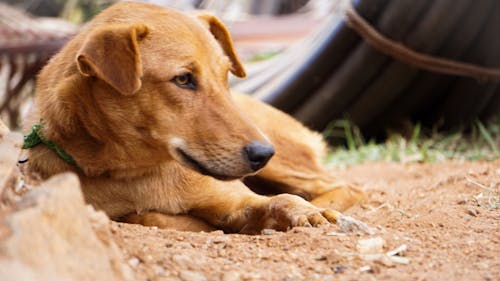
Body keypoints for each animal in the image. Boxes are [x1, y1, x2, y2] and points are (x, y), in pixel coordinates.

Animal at [24, 2, 368, 233]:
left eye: (226, 74)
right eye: (183, 79)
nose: (263, 153)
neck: (139, 173)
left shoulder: (236, 199)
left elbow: (281, 200)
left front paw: (307, 213)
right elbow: (147, 215)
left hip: (284, 163)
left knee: (345, 187)